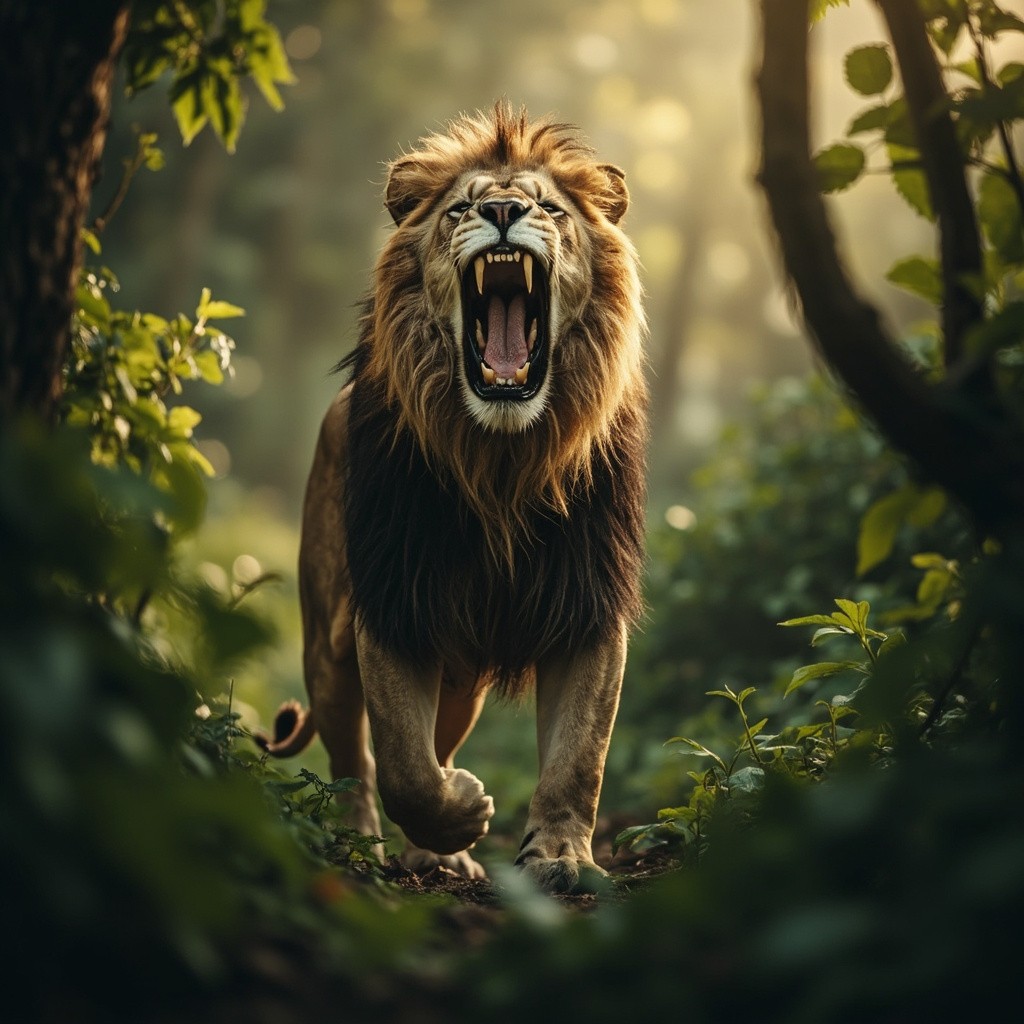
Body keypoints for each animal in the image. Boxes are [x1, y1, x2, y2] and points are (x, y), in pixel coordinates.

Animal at [261, 102, 647, 893]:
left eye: (549, 209)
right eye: (461, 209)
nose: (502, 212)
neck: (502, 463)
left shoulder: (588, 601)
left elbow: (579, 757)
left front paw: (560, 858)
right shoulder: (395, 601)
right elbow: (405, 766)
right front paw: (464, 809)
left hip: (461, 674)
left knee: (437, 736)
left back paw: (436, 856)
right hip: (327, 646)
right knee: (354, 759)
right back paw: (366, 844)